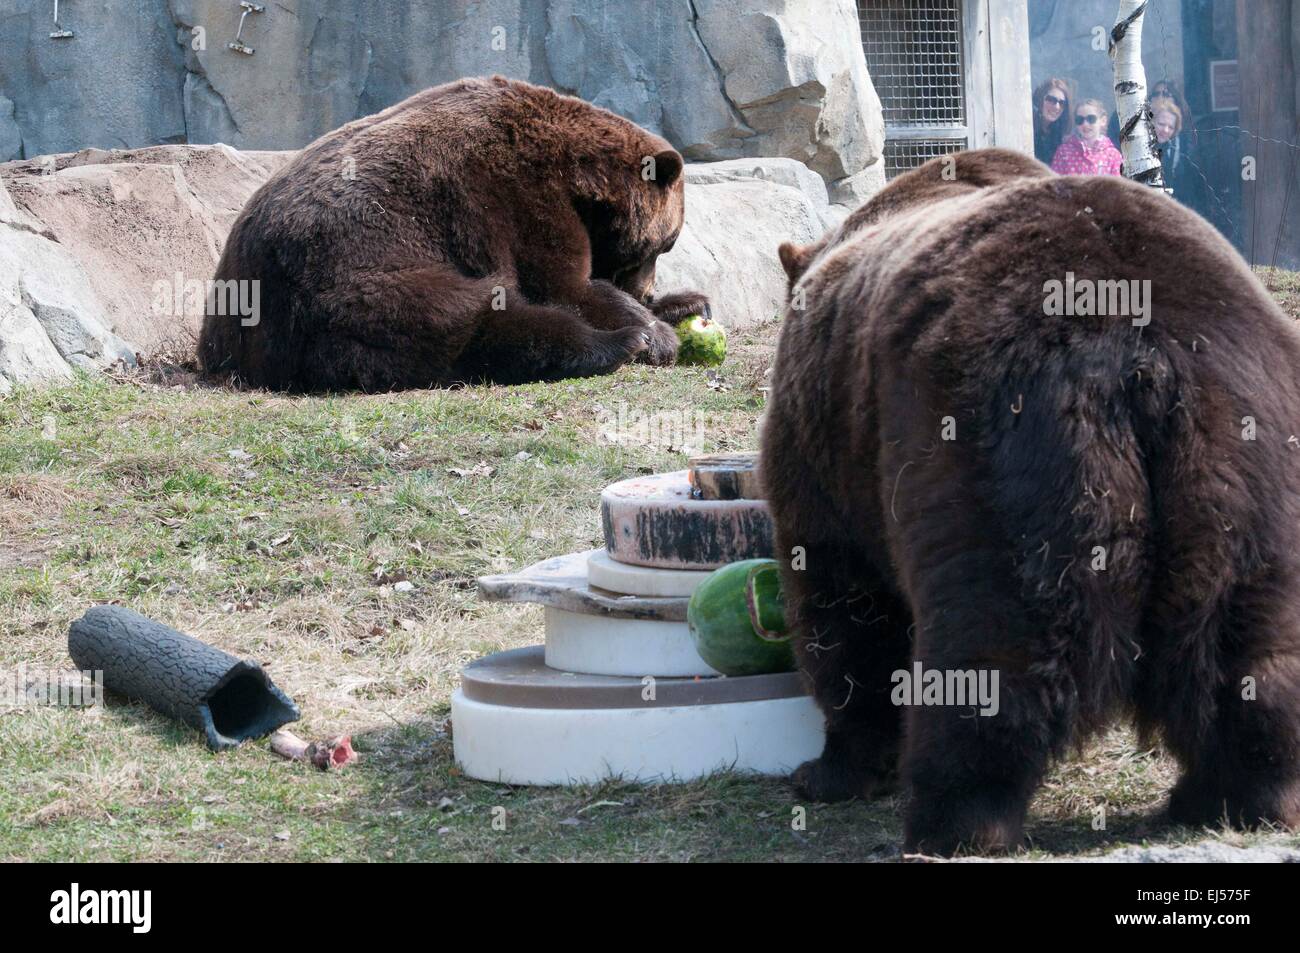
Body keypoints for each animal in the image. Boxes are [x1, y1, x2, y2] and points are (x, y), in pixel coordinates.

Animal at [197, 76, 710, 392]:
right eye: (664, 244)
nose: (646, 288)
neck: (577, 175)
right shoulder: (513, 195)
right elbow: (565, 286)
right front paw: (653, 333)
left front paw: (687, 303)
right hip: (354, 281)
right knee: (477, 319)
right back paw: (618, 344)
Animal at [762, 148, 1300, 856]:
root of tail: (1142, 358)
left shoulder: (827, 445)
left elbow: (842, 601)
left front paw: (831, 769)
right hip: (1242, 451)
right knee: (1247, 643)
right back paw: (1236, 795)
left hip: (997, 456)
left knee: (993, 650)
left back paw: (955, 819)